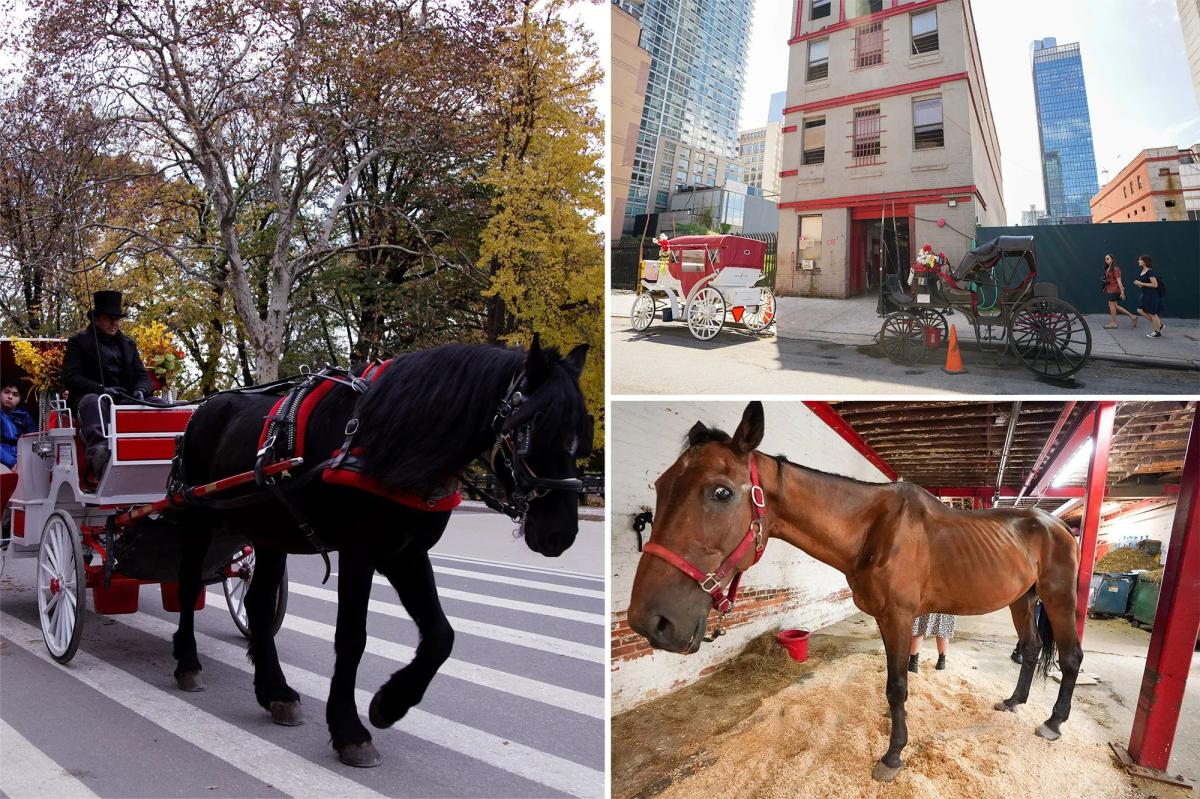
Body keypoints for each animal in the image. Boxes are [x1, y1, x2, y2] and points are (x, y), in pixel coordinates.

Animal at [169, 337, 591, 767]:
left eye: (583, 431)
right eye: (531, 428)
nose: (560, 534)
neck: (391, 436)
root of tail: (204, 408)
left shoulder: (407, 554)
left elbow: (441, 635)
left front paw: (391, 703)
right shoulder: (360, 553)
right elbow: (352, 637)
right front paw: (349, 729)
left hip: (270, 533)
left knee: (256, 602)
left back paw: (275, 692)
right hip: (198, 519)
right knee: (188, 587)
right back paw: (188, 663)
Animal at [627, 401, 1083, 783]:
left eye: (721, 491)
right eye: (661, 485)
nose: (650, 621)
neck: (874, 529)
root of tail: (1058, 525)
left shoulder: (899, 616)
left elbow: (898, 685)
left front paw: (893, 755)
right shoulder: (884, 617)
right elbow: (895, 683)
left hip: (1058, 598)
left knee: (1071, 657)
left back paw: (1053, 723)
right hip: (1022, 599)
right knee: (1029, 649)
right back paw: (1014, 702)